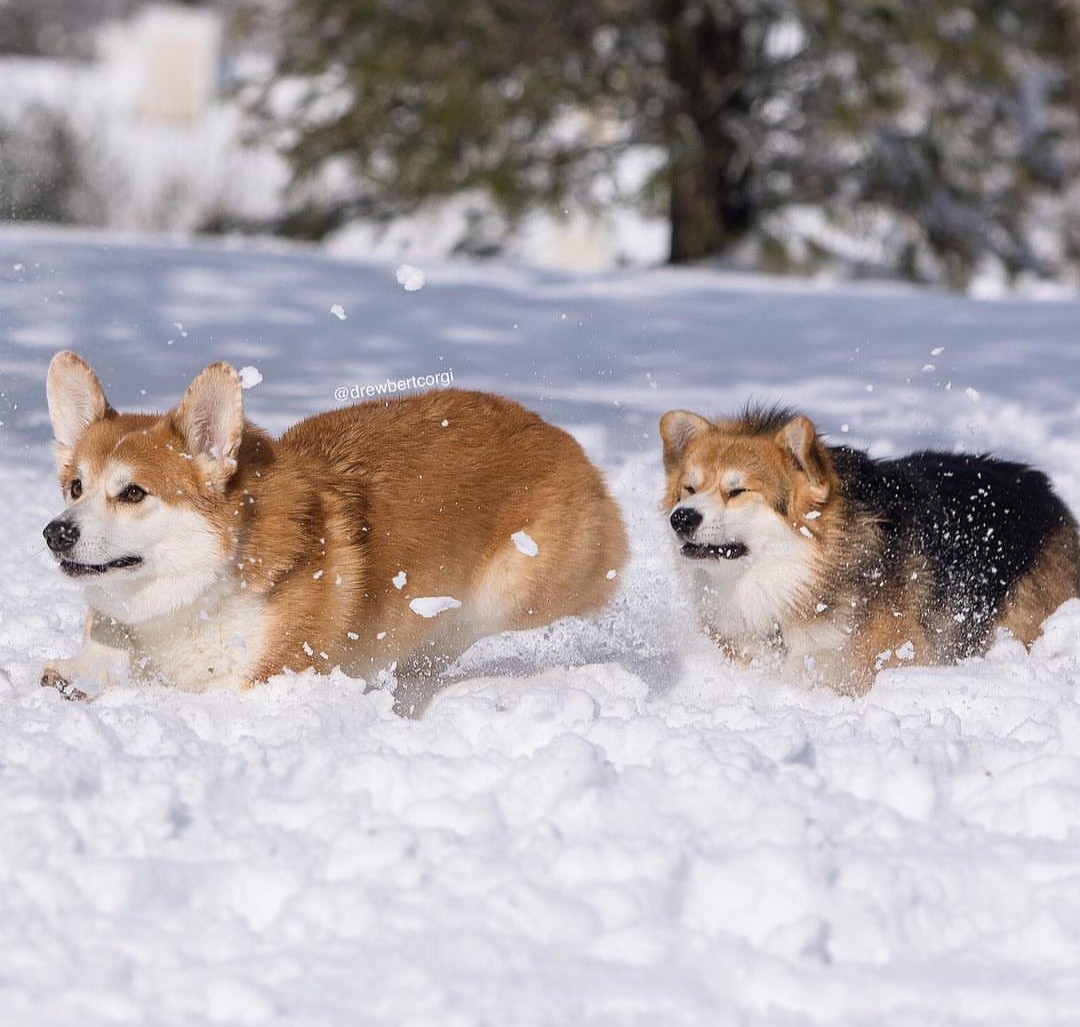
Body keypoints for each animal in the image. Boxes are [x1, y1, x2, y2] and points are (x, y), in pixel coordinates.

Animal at [44, 349, 626, 712]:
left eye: (133, 493)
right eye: (76, 487)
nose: (55, 533)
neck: (194, 597)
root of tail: (560, 436)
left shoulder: (263, 679)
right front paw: (64, 681)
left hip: (510, 592)